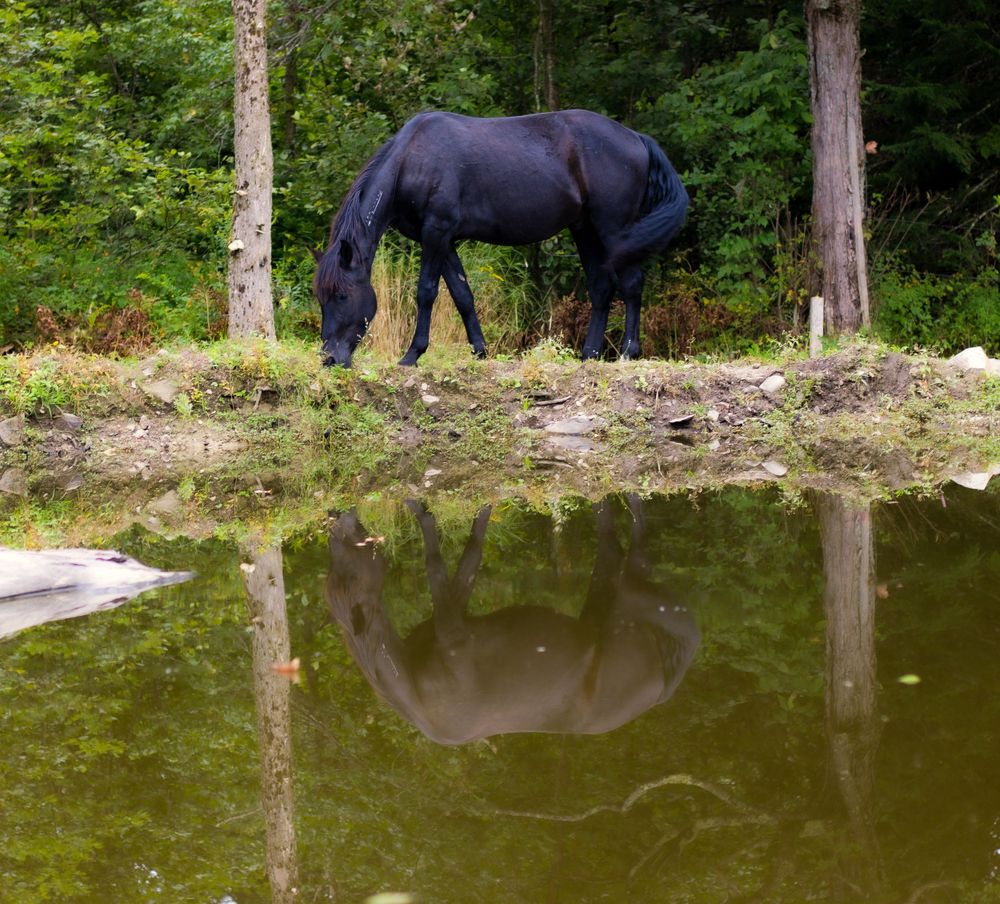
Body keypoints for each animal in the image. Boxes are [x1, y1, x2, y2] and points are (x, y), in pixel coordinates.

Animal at [313, 109, 688, 367]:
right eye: (321, 298)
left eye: (342, 296)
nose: (329, 358)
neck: (412, 161)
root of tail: (636, 138)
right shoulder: (442, 240)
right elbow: (462, 294)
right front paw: (480, 351)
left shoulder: (436, 233)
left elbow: (426, 292)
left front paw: (412, 355)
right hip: (585, 230)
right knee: (600, 287)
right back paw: (589, 355)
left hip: (614, 228)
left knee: (632, 284)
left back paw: (627, 353)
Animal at [324, 496, 700, 745]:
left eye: (348, 568)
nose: (334, 515)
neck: (415, 687)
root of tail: (662, 689)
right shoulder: (451, 618)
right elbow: (472, 545)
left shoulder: (452, 628)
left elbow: (440, 551)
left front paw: (417, 503)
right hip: (603, 605)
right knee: (609, 535)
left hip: (632, 598)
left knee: (637, 535)